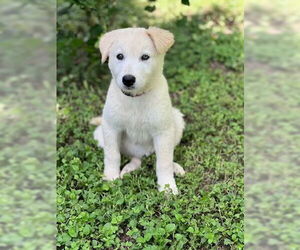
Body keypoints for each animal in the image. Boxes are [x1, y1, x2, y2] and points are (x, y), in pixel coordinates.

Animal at [91, 27, 185, 195]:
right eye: (119, 56)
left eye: (145, 57)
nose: (128, 79)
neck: (135, 98)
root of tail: (141, 153)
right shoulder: (111, 127)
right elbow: (112, 155)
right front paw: (110, 178)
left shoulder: (163, 132)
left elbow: (164, 161)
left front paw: (167, 187)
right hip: (100, 134)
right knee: (134, 159)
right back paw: (128, 169)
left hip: (176, 121)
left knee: (162, 156)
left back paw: (175, 168)